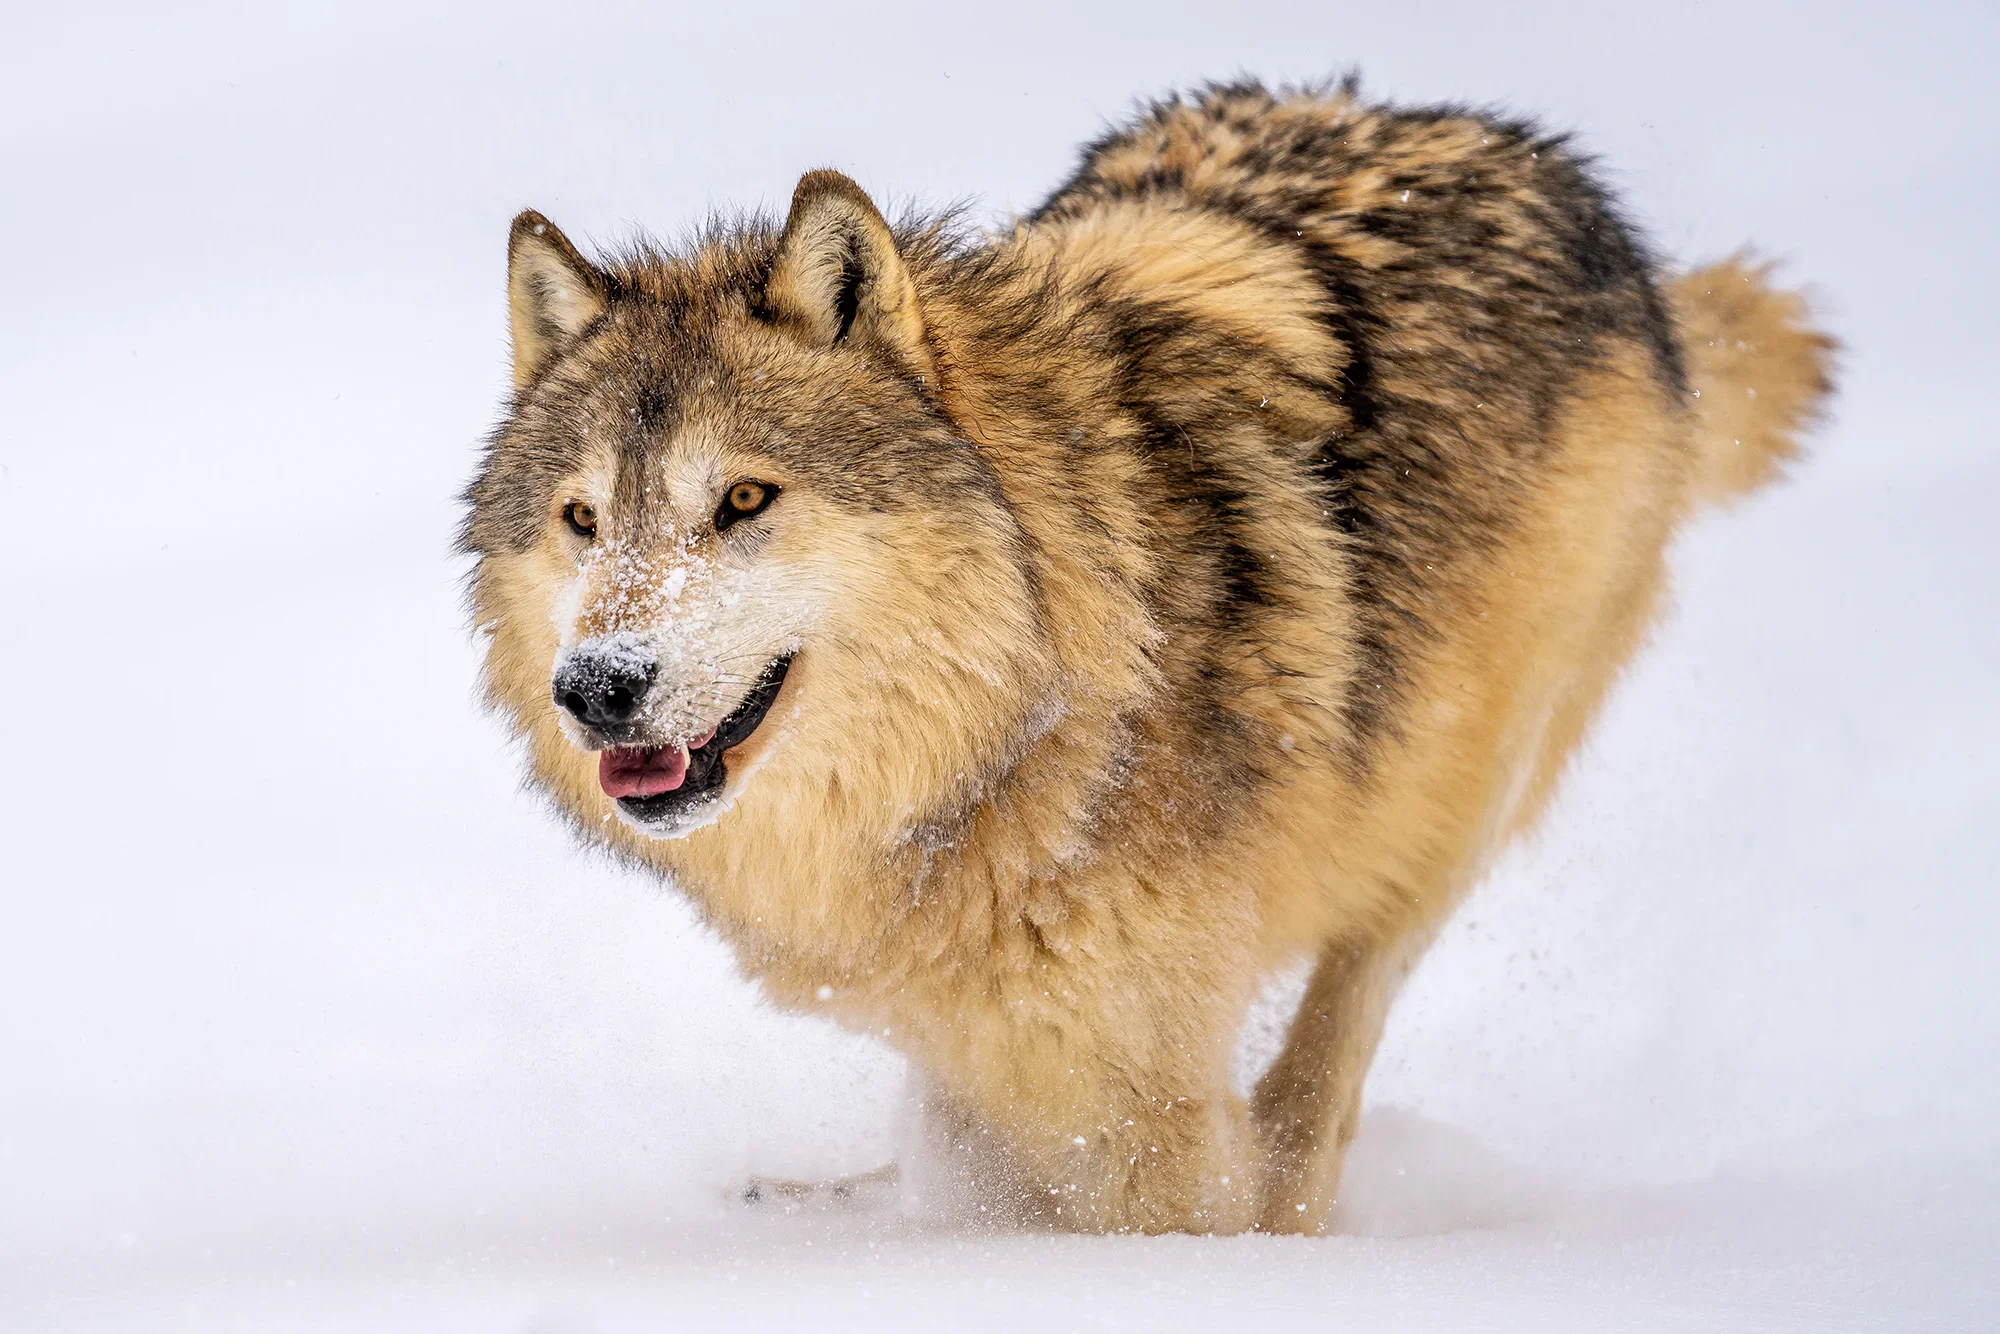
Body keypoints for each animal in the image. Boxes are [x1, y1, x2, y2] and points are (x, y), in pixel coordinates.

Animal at [460, 81, 1832, 1232]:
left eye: (743, 499)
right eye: (582, 518)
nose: (594, 688)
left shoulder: (1140, 1094)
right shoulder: (986, 1042)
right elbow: (960, 1163)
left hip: (1458, 789)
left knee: (1335, 1038)